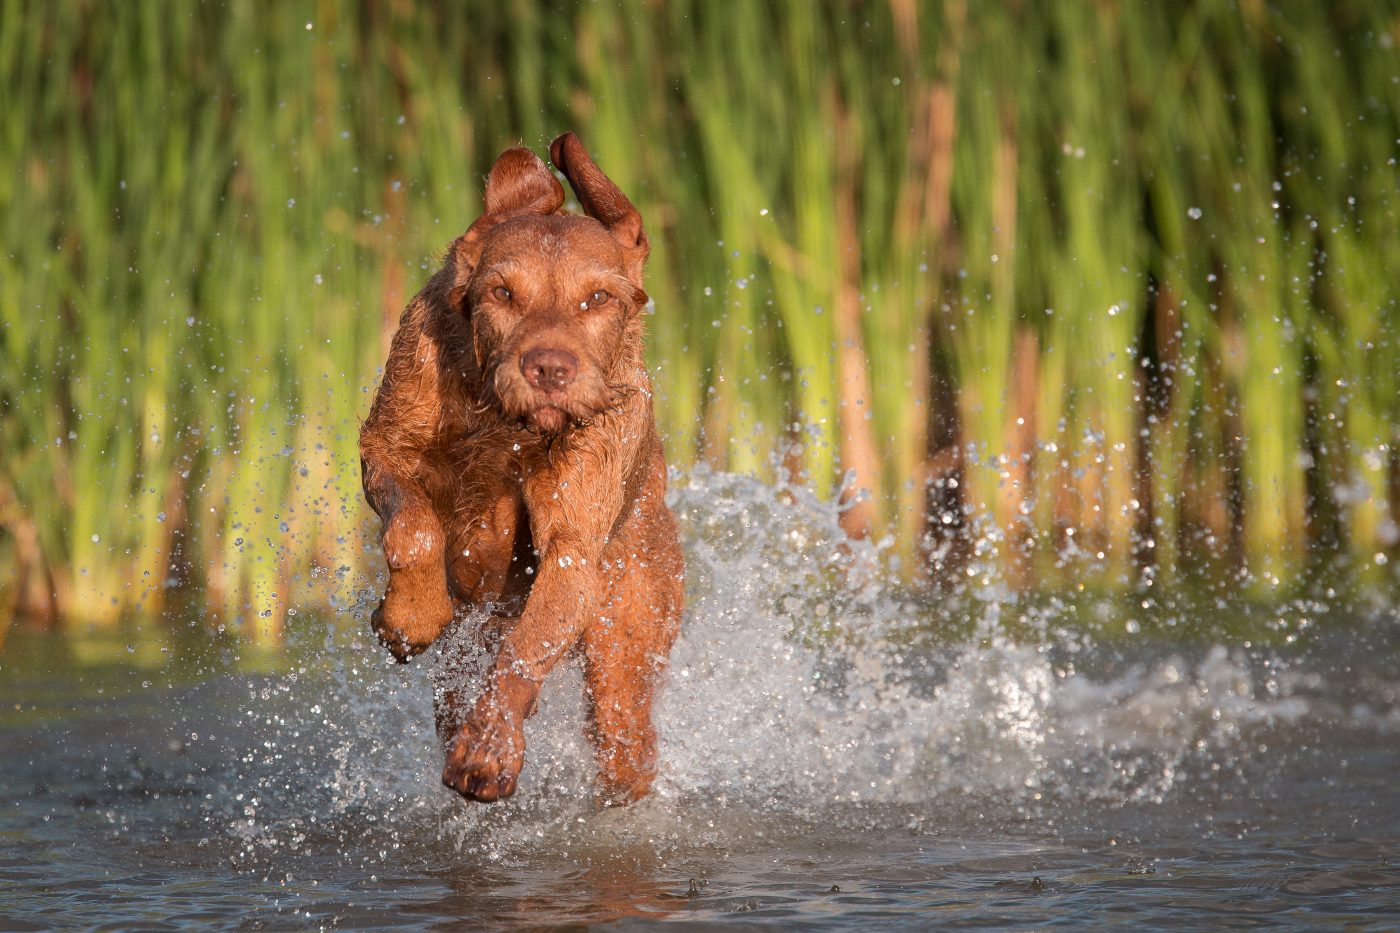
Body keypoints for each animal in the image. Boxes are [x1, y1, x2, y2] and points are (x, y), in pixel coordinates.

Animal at [361, 132, 683, 806]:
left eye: (598, 297)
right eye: (502, 293)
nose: (550, 368)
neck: (506, 427)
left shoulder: (571, 546)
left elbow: (527, 647)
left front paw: (488, 748)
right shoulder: (384, 449)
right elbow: (414, 530)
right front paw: (408, 617)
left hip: (626, 644)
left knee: (624, 737)